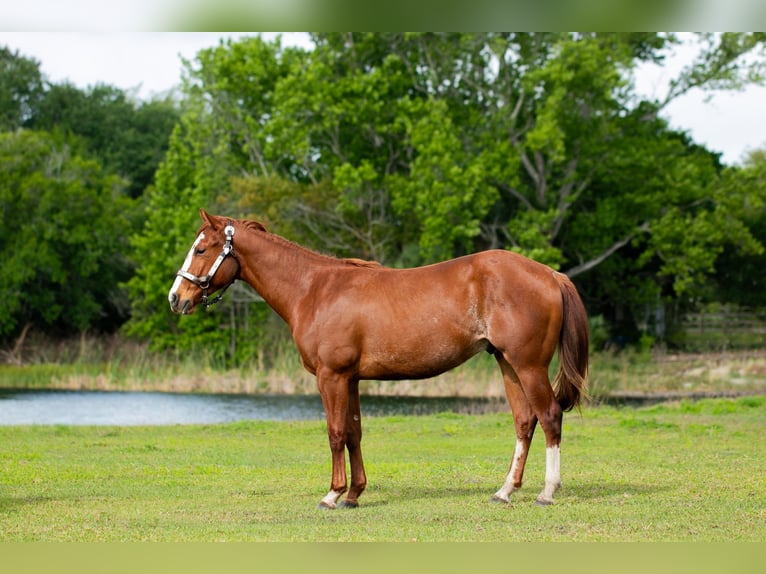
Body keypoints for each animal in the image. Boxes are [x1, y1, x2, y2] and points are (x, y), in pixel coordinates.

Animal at [168, 209, 589, 509]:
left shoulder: (332, 376)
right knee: (524, 421)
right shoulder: (351, 379)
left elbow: (335, 433)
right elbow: (354, 432)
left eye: (201, 249)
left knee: (550, 416)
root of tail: (550, 274)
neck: (314, 289)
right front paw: (355, 494)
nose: (176, 298)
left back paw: (547, 492)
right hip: (507, 364)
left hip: (529, 366)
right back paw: (505, 490)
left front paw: (332, 494)